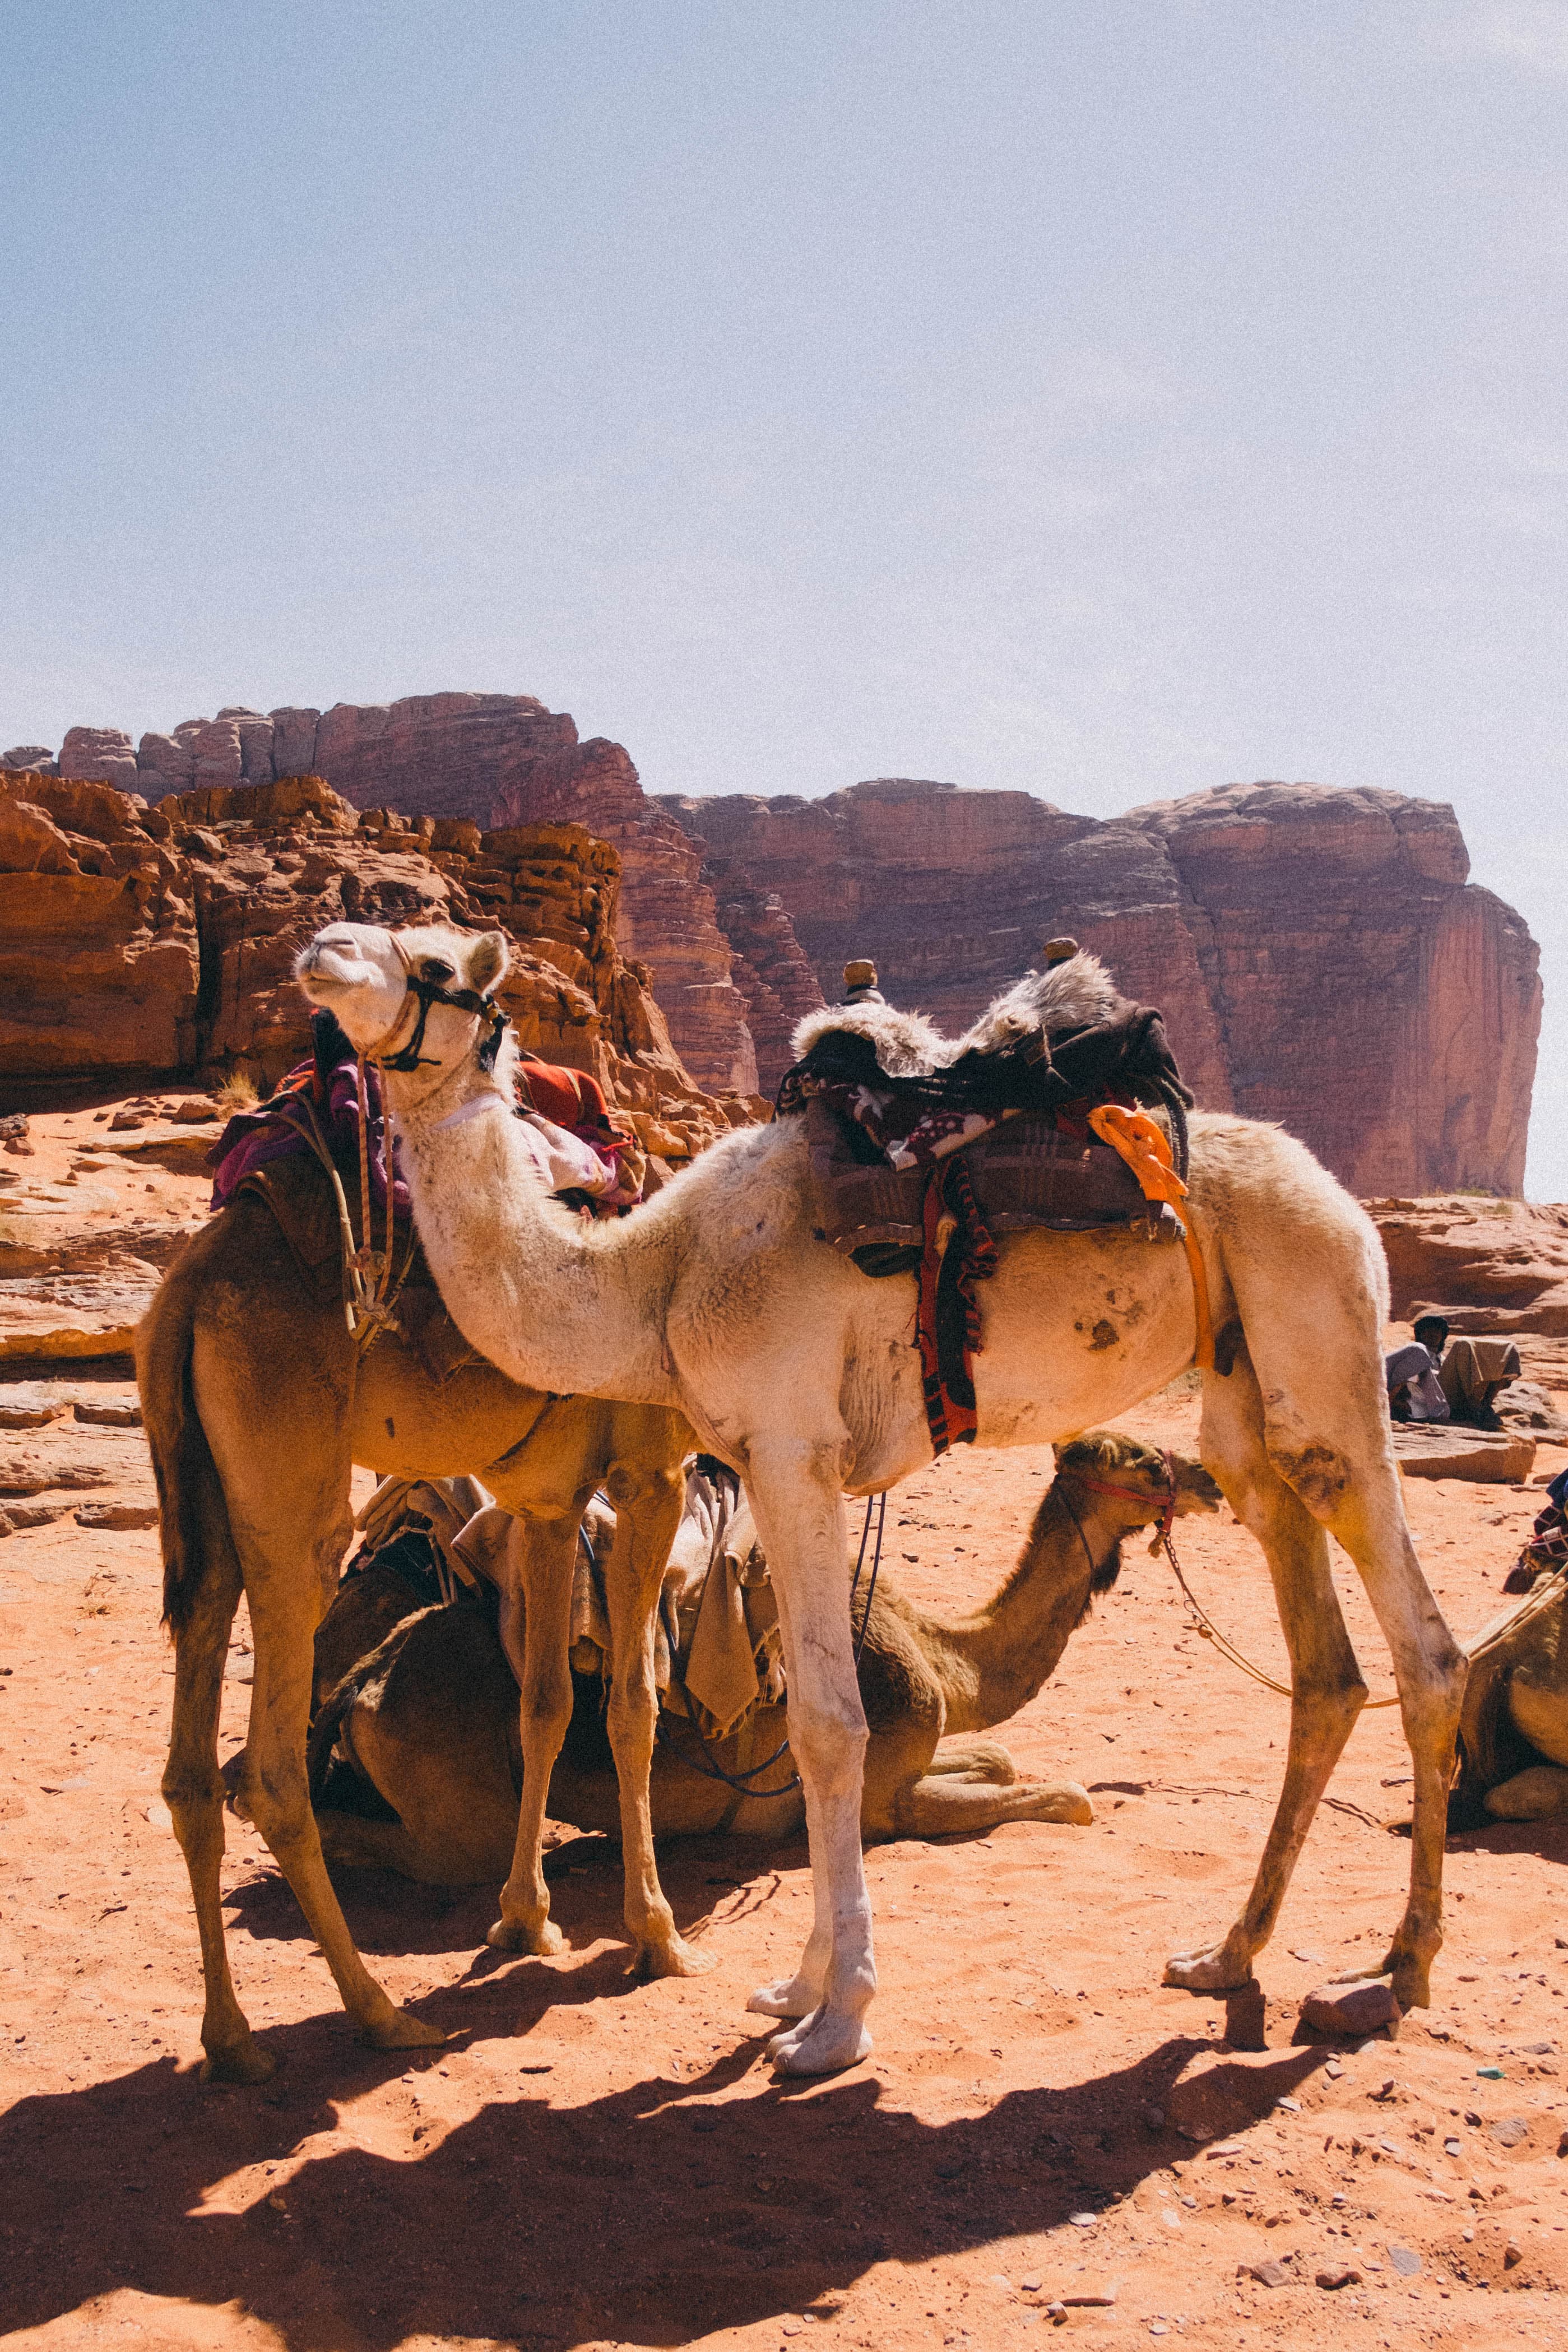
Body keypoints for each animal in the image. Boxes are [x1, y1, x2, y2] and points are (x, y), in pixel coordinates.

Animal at [138, 1147, 696, 2088]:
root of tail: (187, 1290)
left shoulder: (551, 1501)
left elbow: (544, 1704)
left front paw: (523, 1919)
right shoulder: (651, 1474)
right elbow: (631, 1708)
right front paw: (656, 1935)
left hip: (199, 1489)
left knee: (191, 1771)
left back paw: (234, 2040)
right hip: (291, 1487)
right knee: (272, 1772)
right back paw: (381, 2014)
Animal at [307, 1432, 1223, 1874]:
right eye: (1146, 1460)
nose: (1212, 1478)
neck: (940, 1658)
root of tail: (364, 1682)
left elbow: (996, 1759)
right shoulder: (883, 1804)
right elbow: (1069, 1798)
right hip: (462, 1816)